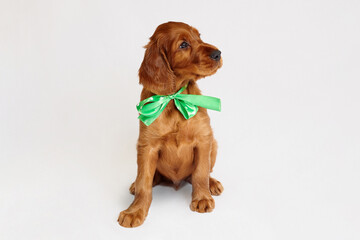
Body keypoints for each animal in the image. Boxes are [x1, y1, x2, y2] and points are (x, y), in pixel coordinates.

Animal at [118, 21, 224, 228]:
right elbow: (144, 182)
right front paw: (135, 211)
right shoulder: (147, 146)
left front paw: (202, 198)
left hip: (214, 144)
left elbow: (200, 173)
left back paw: (213, 184)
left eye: (199, 37)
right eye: (183, 45)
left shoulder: (203, 139)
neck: (174, 98)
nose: (218, 53)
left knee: (203, 172)